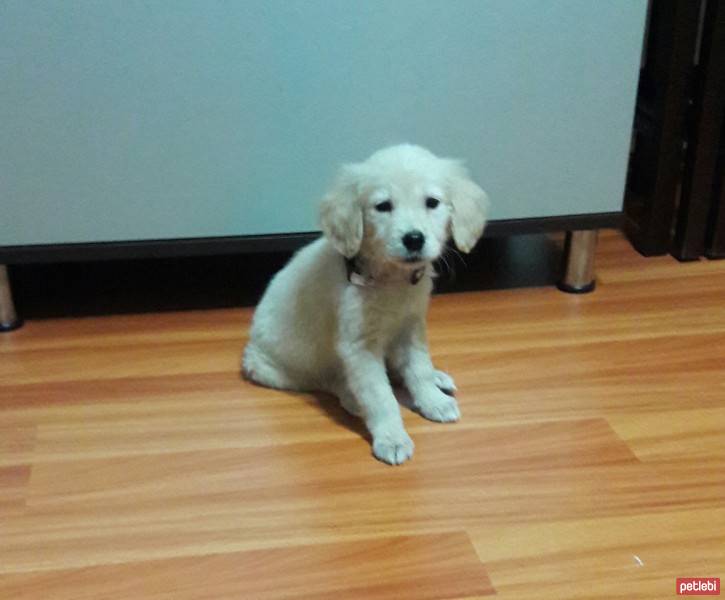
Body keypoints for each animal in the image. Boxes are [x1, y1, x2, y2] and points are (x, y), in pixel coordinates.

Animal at [242, 144, 486, 464]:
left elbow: (418, 368)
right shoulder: (358, 346)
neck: (391, 281)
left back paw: (437, 378)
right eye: (383, 206)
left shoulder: (411, 327)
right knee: (333, 381)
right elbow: (380, 396)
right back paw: (352, 399)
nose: (414, 239)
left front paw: (432, 400)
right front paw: (392, 438)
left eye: (432, 202)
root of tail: (249, 354)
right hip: (283, 369)